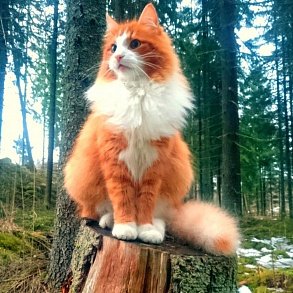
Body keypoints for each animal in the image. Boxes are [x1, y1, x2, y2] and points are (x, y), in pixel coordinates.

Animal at [62, 2, 238, 253]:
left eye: (134, 44)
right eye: (113, 47)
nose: (118, 56)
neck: (138, 92)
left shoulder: (154, 165)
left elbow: (145, 202)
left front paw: (144, 229)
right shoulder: (116, 160)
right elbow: (123, 198)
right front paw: (126, 226)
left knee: (162, 218)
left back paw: (154, 230)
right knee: (98, 210)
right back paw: (109, 221)